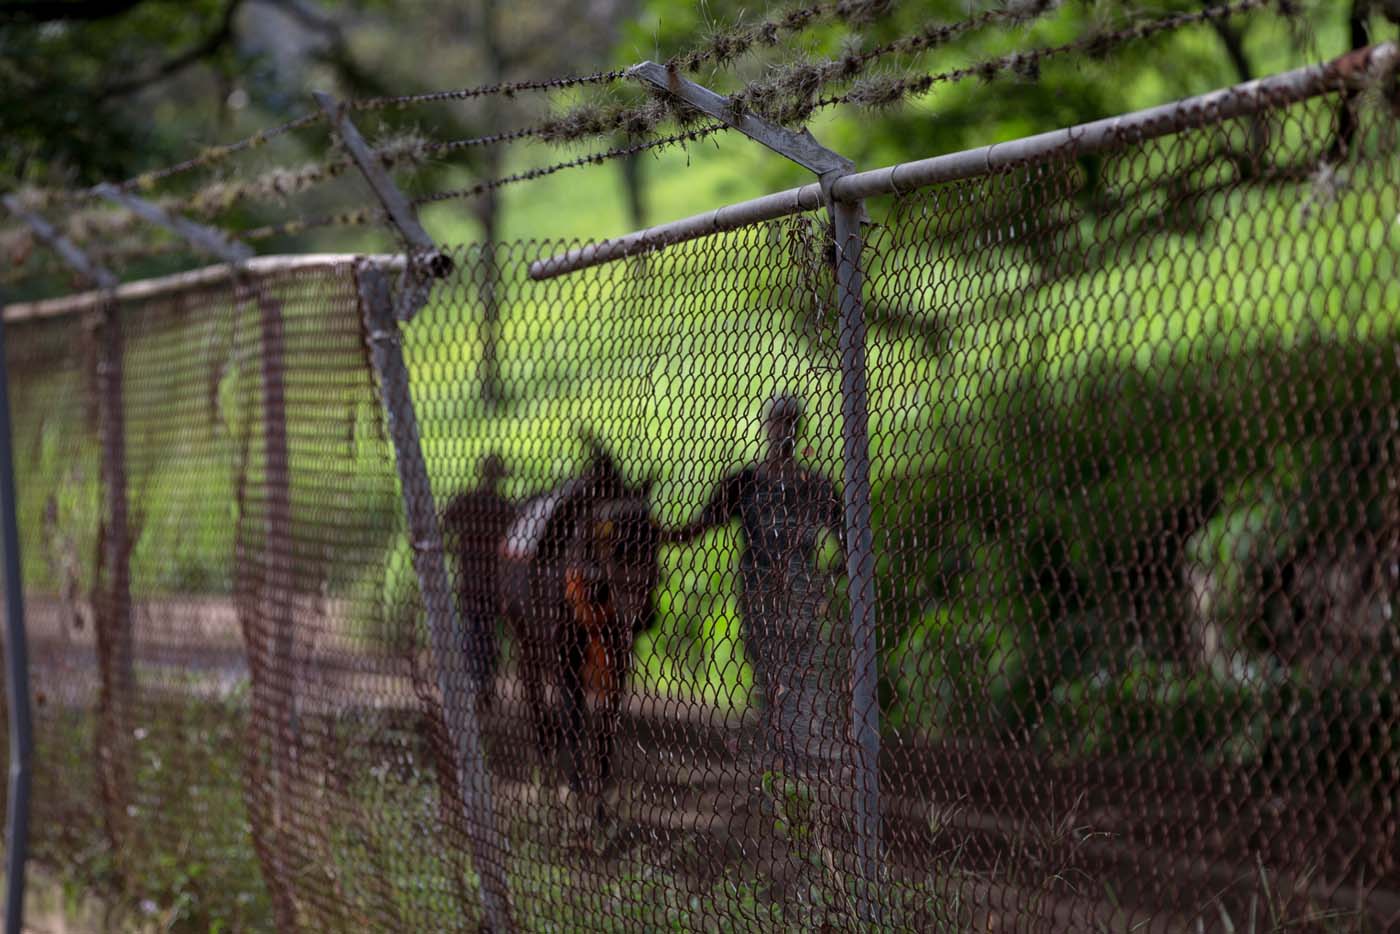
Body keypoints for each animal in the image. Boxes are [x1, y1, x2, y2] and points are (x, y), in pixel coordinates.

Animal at [495, 442, 663, 812]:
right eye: (615, 541)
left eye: (657, 541)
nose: (646, 615)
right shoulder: (563, 659)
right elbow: (573, 720)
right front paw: (574, 787)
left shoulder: (616, 661)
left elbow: (604, 728)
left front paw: (601, 793)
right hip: (526, 644)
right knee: (537, 703)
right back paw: (545, 769)